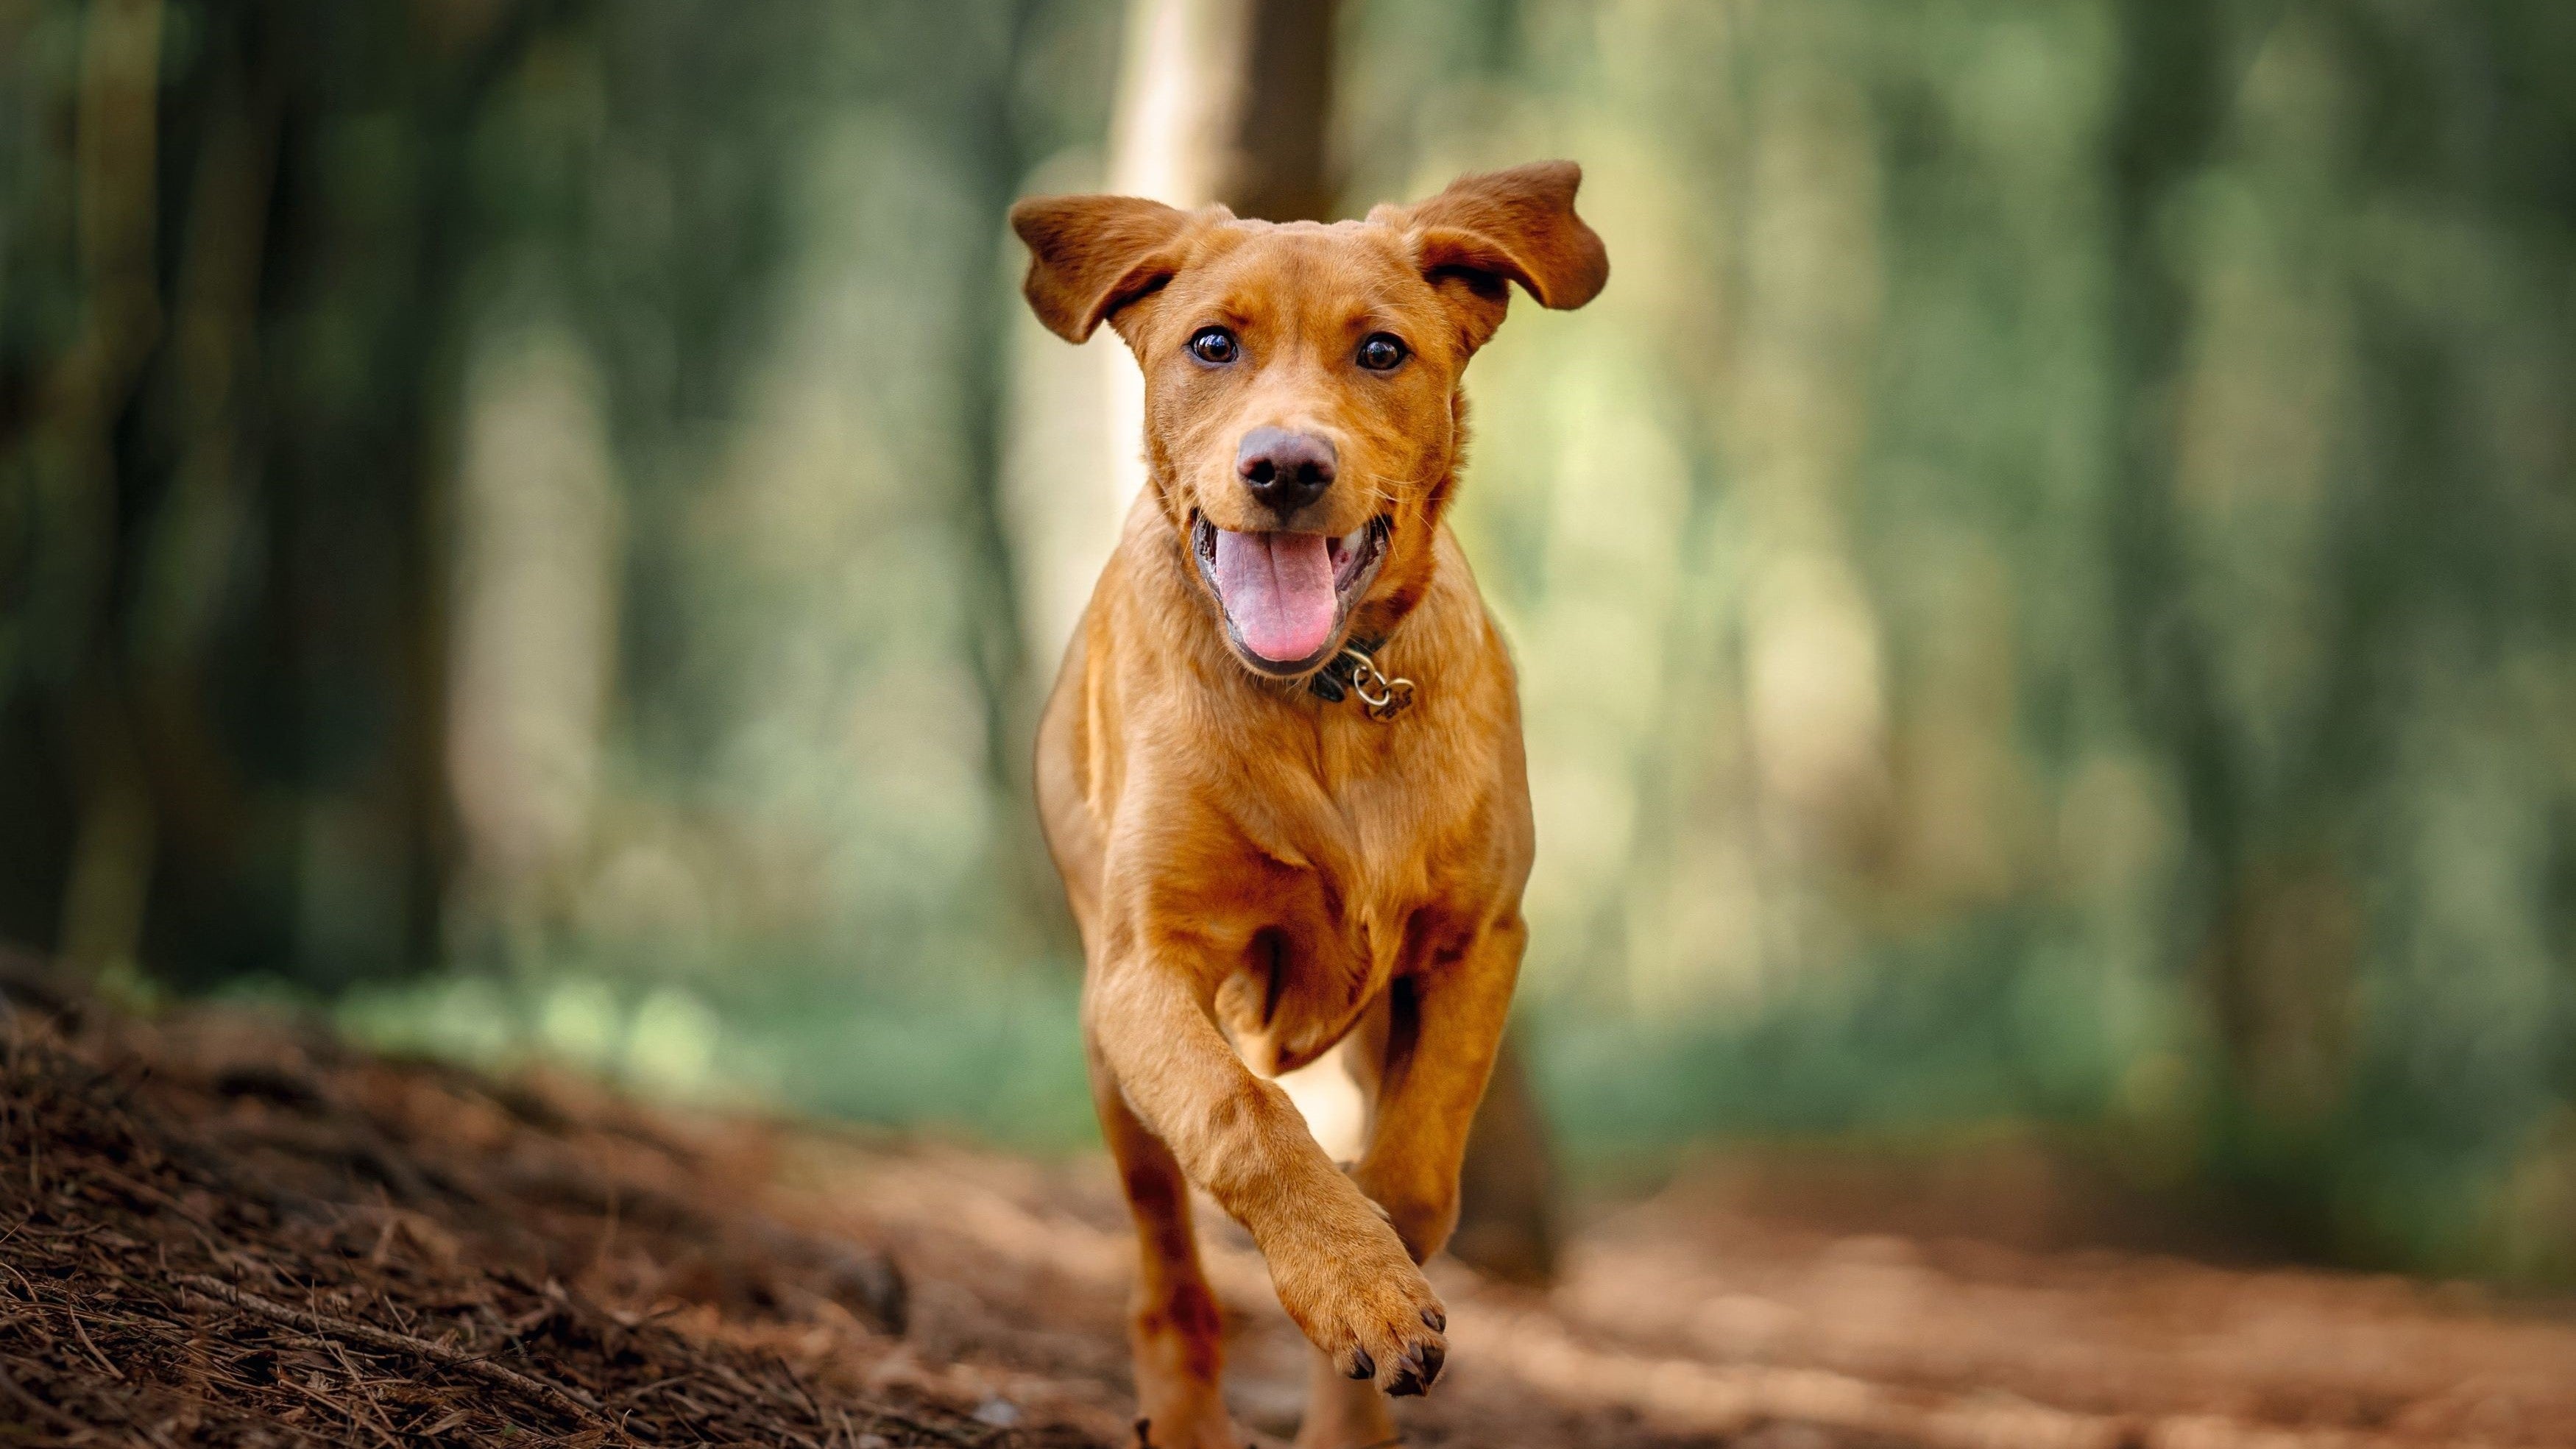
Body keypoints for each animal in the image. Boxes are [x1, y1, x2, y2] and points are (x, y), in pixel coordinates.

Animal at [1010, 164, 1597, 1441]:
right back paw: (1184, 1412)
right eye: (1211, 344)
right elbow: (1244, 1119)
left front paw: (1375, 1280)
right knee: (1168, 1274)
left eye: (1381, 351)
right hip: (1107, 1060)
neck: (1324, 697)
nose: (1285, 468)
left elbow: (1417, 1173)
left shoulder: (1480, 940)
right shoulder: (1145, 970)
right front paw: (1352, 1282)